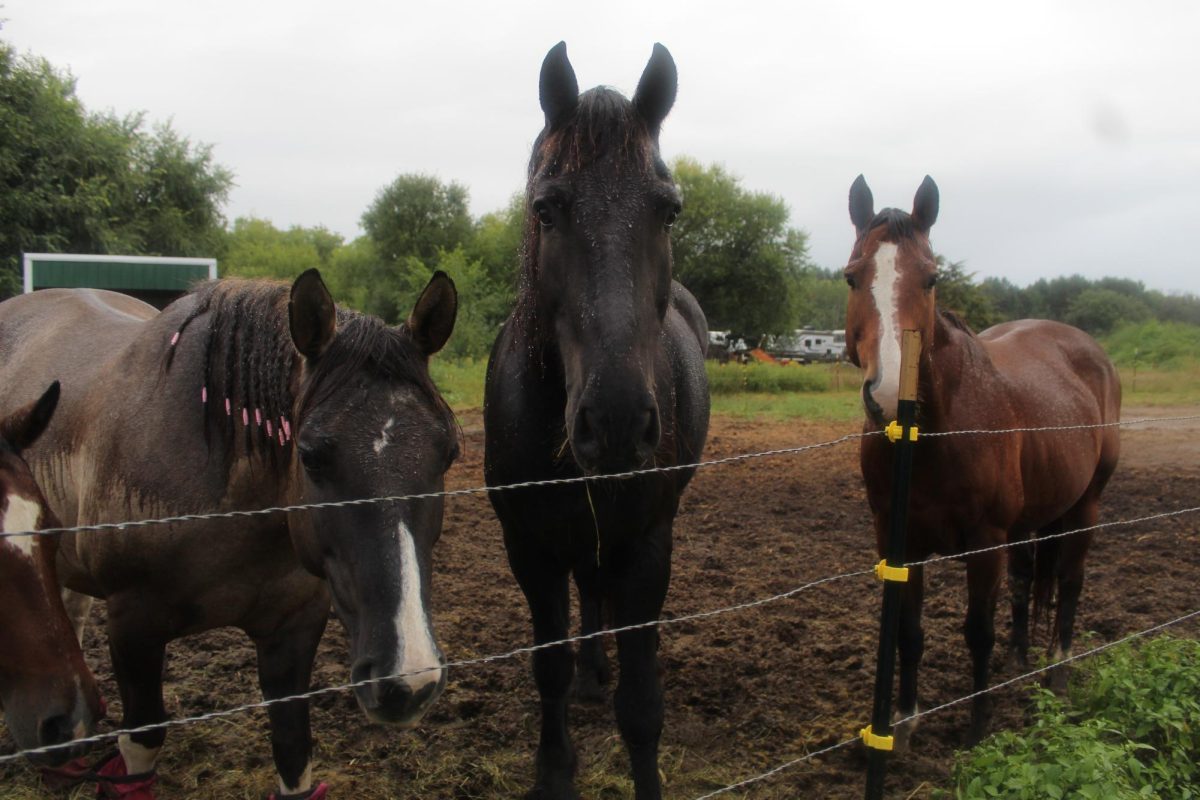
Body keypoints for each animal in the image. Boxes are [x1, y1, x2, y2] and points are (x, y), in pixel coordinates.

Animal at [483, 42, 710, 800]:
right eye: (546, 209)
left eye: (669, 212)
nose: (614, 422)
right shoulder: (529, 547)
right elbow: (547, 666)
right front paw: (555, 772)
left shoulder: (647, 545)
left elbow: (641, 706)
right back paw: (590, 673)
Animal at [844, 175, 1121, 746]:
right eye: (851, 278)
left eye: (931, 279)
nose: (888, 394)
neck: (933, 436)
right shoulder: (898, 539)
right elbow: (909, 630)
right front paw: (905, 719)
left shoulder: (985, 541)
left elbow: (977, 631)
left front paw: (978, 729)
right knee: (1025, 581)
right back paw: (1018, 663)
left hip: (1086, 506)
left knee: (1070, 583)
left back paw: (1057, 674)